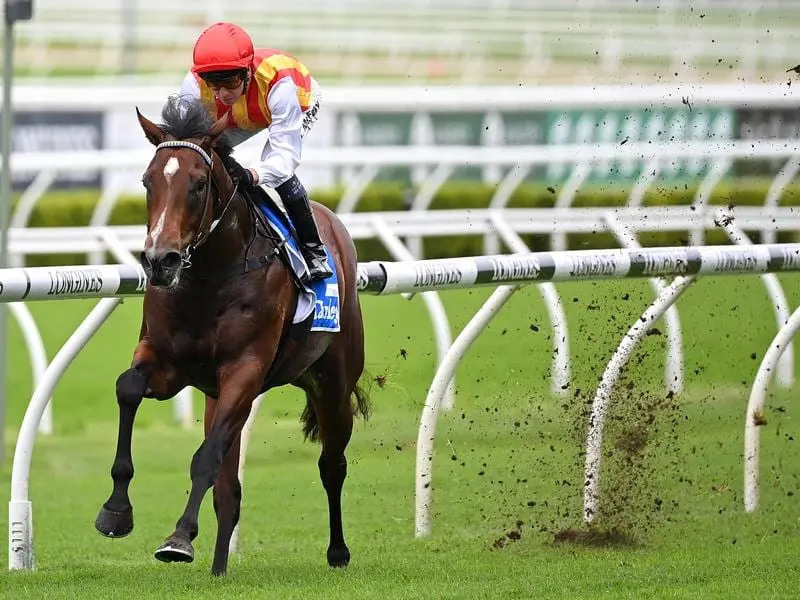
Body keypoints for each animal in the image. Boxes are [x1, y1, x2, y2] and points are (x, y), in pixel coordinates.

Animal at [94, 98, 372, 576]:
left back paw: (338, 551)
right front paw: (117, 511)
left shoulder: (244, 370)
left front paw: (177, 538)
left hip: (331, 383)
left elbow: (205, 458)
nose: (160, 260)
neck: (211, 274)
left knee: (332, 464)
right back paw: (219, 565)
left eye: (200, 184)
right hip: (220, 394)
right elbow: (128, 388)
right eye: (147, 181)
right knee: (230, 489)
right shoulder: (167, 363)